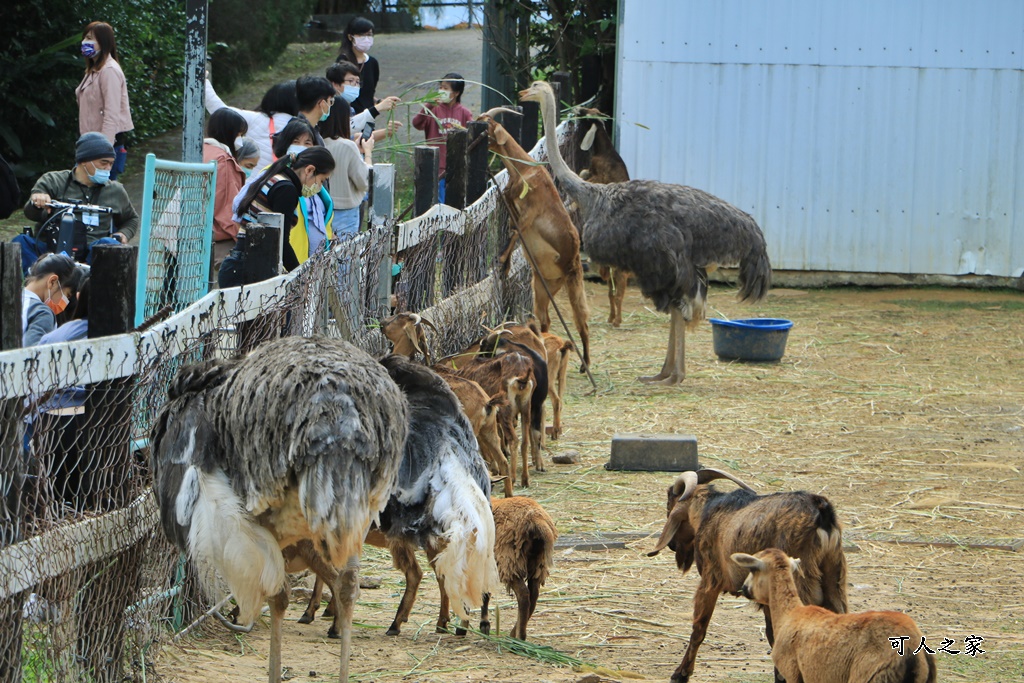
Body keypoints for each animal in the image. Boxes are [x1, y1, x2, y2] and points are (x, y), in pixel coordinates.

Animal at [479, 114, 593, 376]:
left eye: (486, 126)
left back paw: (585, 364)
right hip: (542, 286)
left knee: (582, 322)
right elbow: (513, 230)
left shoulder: (530, 213)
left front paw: (501, 260)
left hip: (574, 283)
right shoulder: (512, 203)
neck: (525, 170)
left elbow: (516, 232)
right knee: (545, 320)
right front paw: (505, 266)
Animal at [733, 548, 937, 683]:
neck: (788, 614)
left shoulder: (791, 672)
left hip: (871, 676)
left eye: (752, 569)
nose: (743, 588)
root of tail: (911, 648)